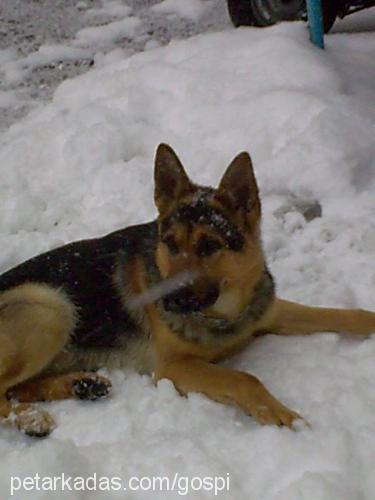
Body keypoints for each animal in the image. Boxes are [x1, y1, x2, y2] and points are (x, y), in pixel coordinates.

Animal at [0, 143, 375, 436]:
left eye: (209, 246)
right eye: (170, 243)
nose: (168, 299)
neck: (223, 312)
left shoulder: (268, 311)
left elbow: (342, 314)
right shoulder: (173, 368)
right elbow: (245, 379)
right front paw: (284, 417)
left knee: (20, 388)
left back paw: (82, 385)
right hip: (50, 306)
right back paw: (31, 419)